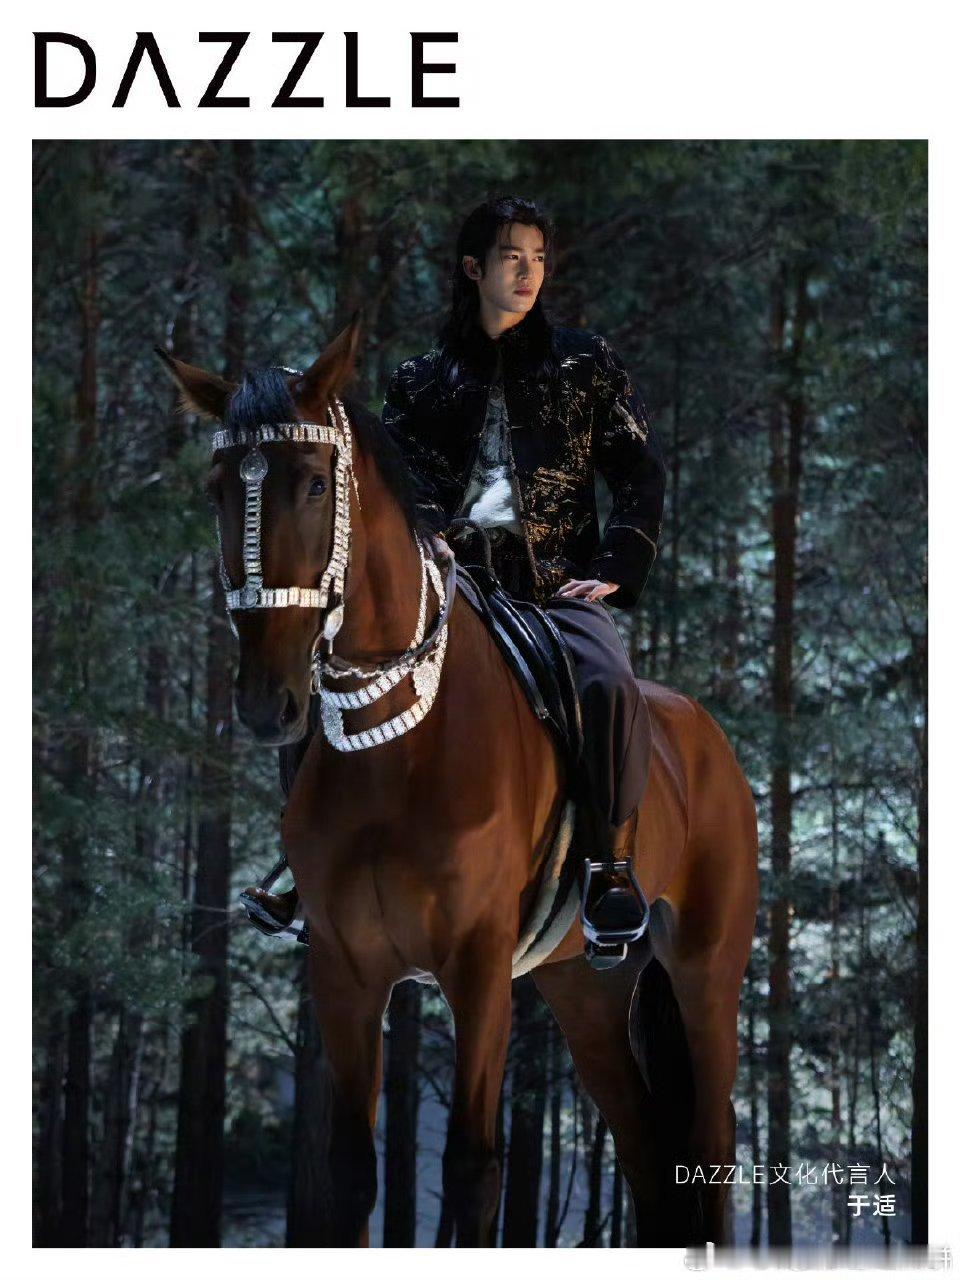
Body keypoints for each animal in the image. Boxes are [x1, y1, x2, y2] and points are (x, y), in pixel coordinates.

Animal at [160, 316, 759, 1248]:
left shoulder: (477, 968)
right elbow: (349, 1174)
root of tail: (707, 736)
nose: (265, 701)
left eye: (312, 484)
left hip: (704, 975)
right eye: (216, 489)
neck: (399, 754)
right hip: (586, 989)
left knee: (710, 1148)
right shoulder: (345, 969)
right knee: (652, 1162)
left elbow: (474, 1171)